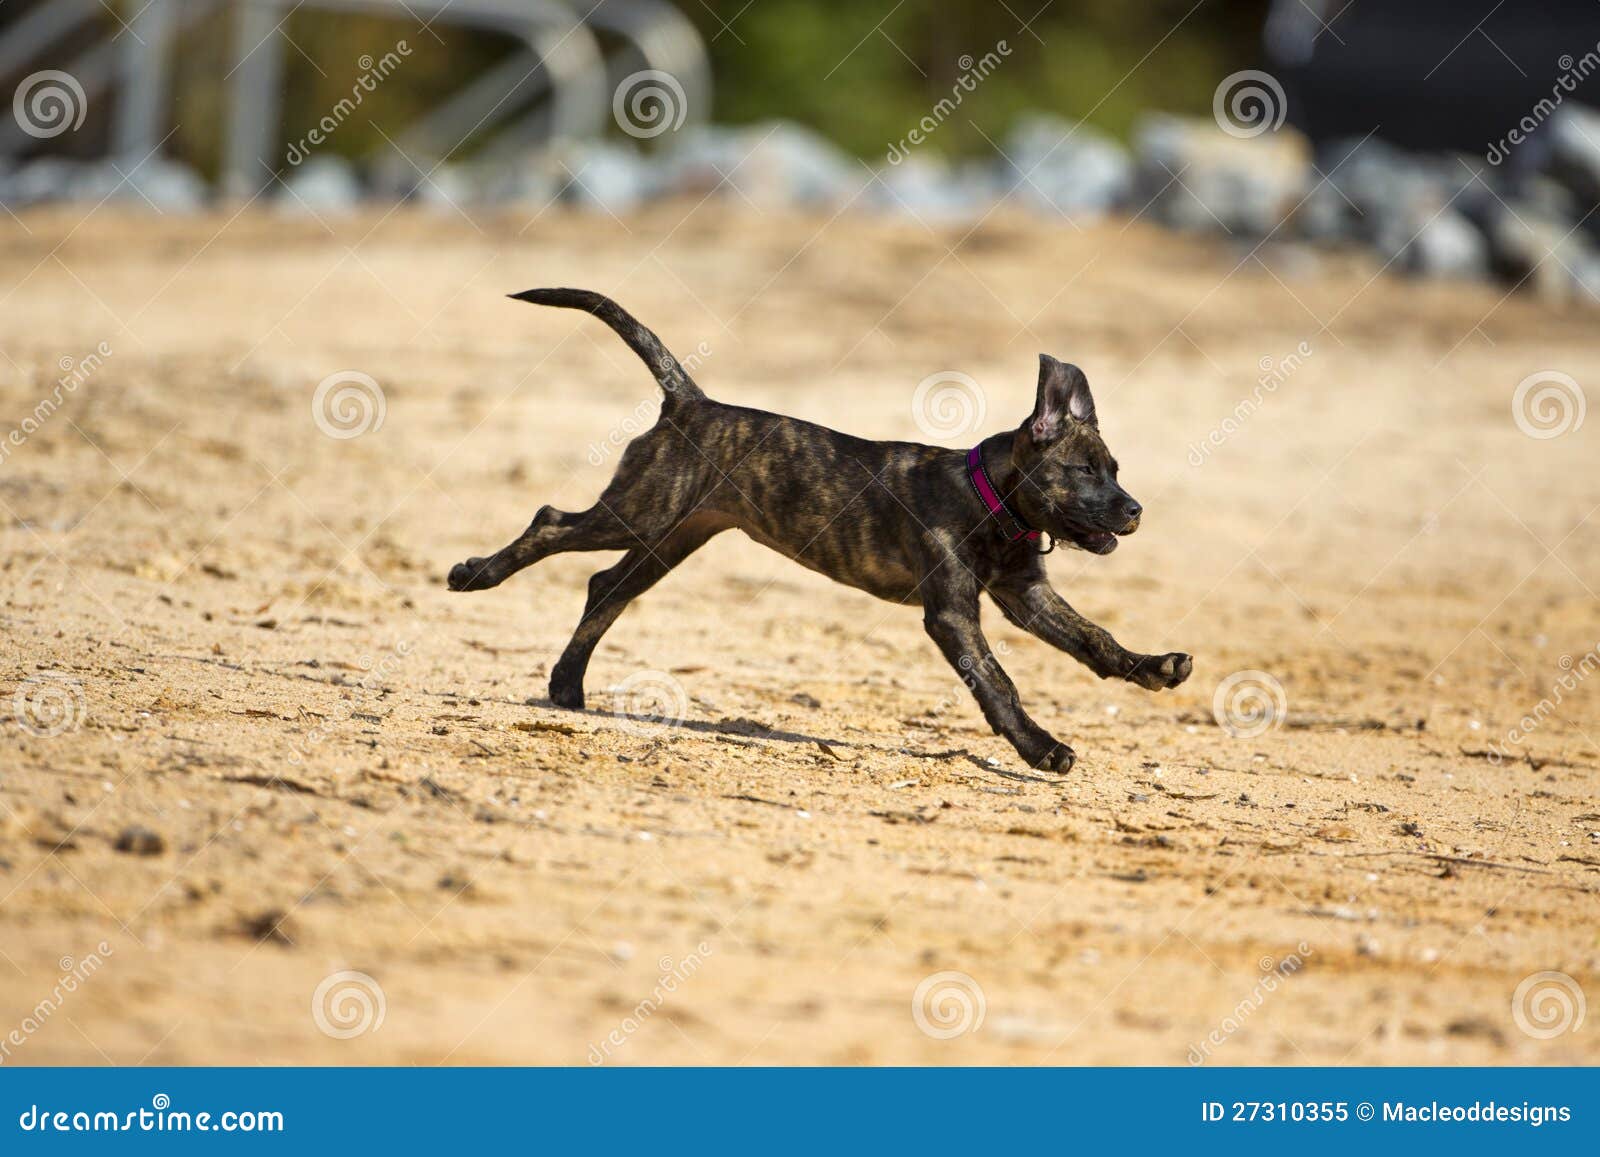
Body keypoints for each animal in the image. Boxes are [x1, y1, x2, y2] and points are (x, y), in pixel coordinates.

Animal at [444, 289, 1196, 768]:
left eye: (1116, 469)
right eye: (1085, 471)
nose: (1135, 510)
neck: (990, 502)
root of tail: (689, 403)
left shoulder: (1026, 595)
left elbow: (1094, 639)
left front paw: (1152, 666)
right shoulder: (953, 614)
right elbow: (999, 683)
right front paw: (1041, 749)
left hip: (670, 537)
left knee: (604, 586)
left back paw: (567, 687)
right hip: (639, 512)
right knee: (550, 524)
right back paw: (474, 575)